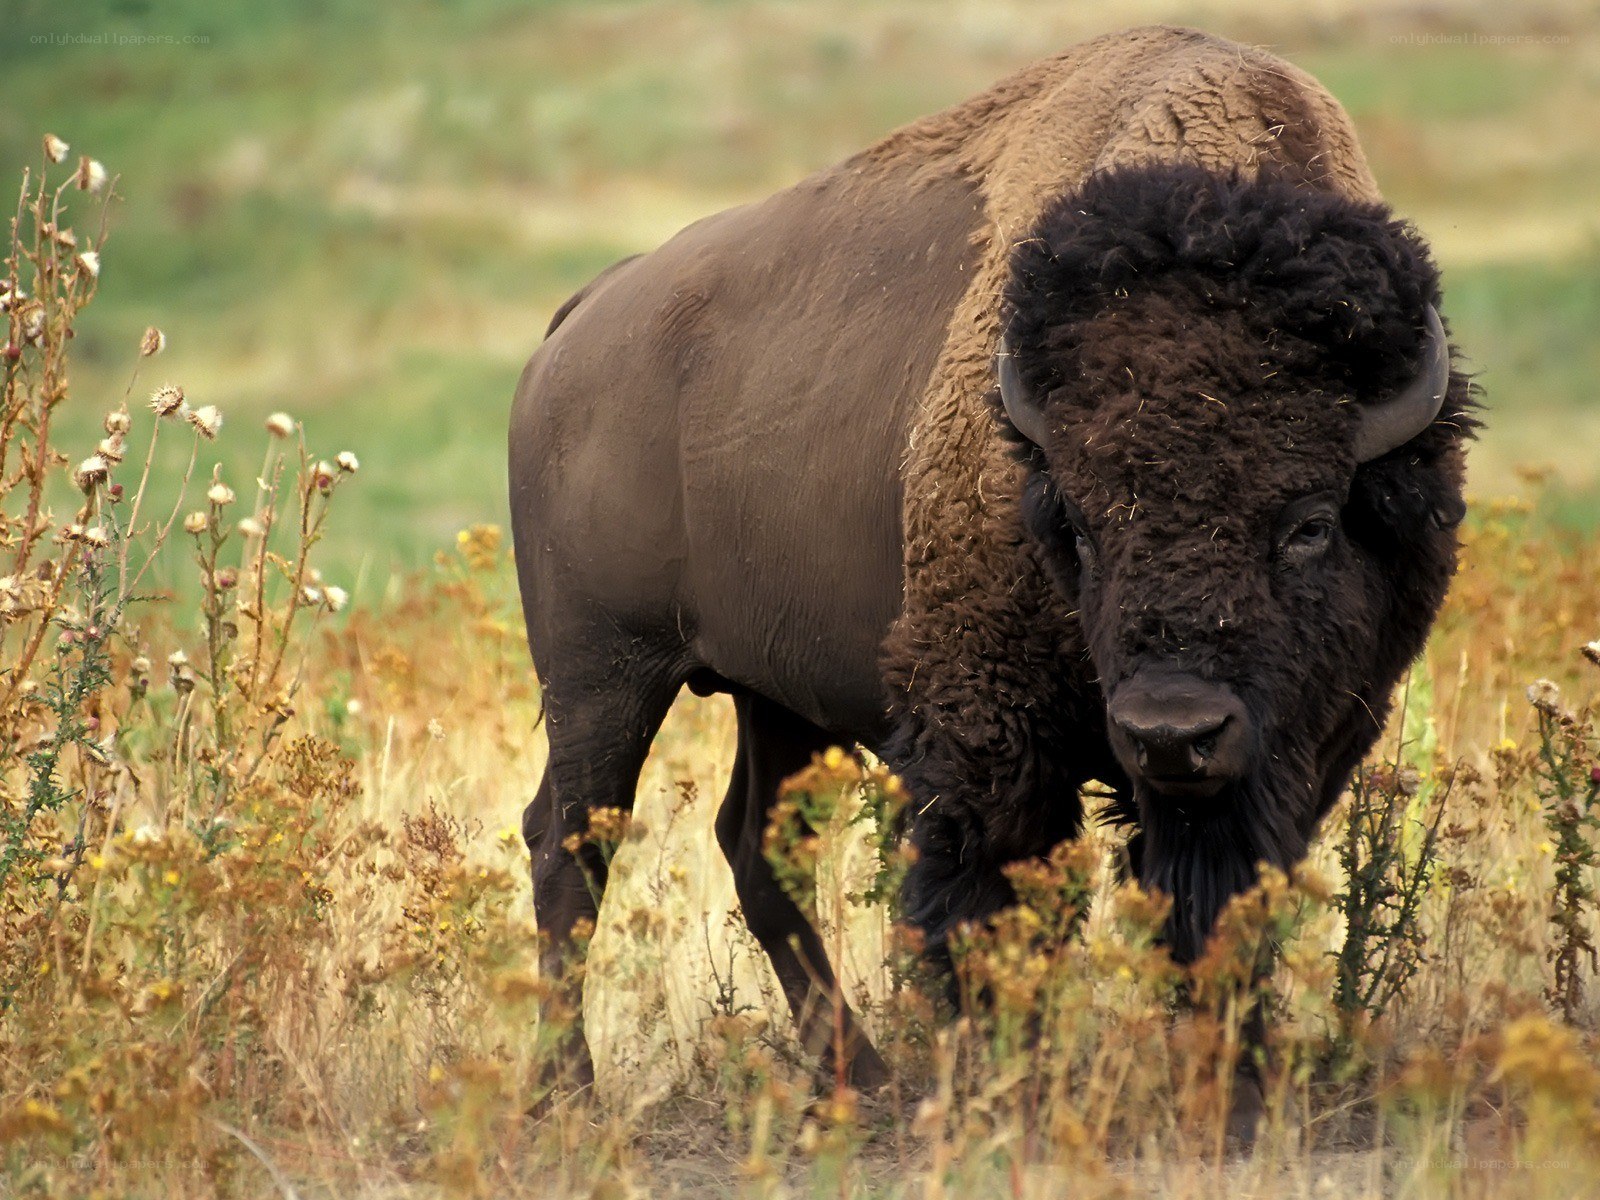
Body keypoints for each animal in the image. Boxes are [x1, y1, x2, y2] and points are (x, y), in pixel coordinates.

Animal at [508, 25, 1474, 1097]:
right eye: (1079, 526)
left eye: (1309, 522)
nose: (1172, 732)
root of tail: (583, 318)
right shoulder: (988, 731)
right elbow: (993, 903)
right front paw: (1009, 1076)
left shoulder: (1303, 745)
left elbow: (1223, 907)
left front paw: (1234, 1079)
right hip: (603, 676)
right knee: (570, 842)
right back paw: (570, 1091)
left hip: (774, 694)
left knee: (753, 844)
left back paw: (860, 1079)